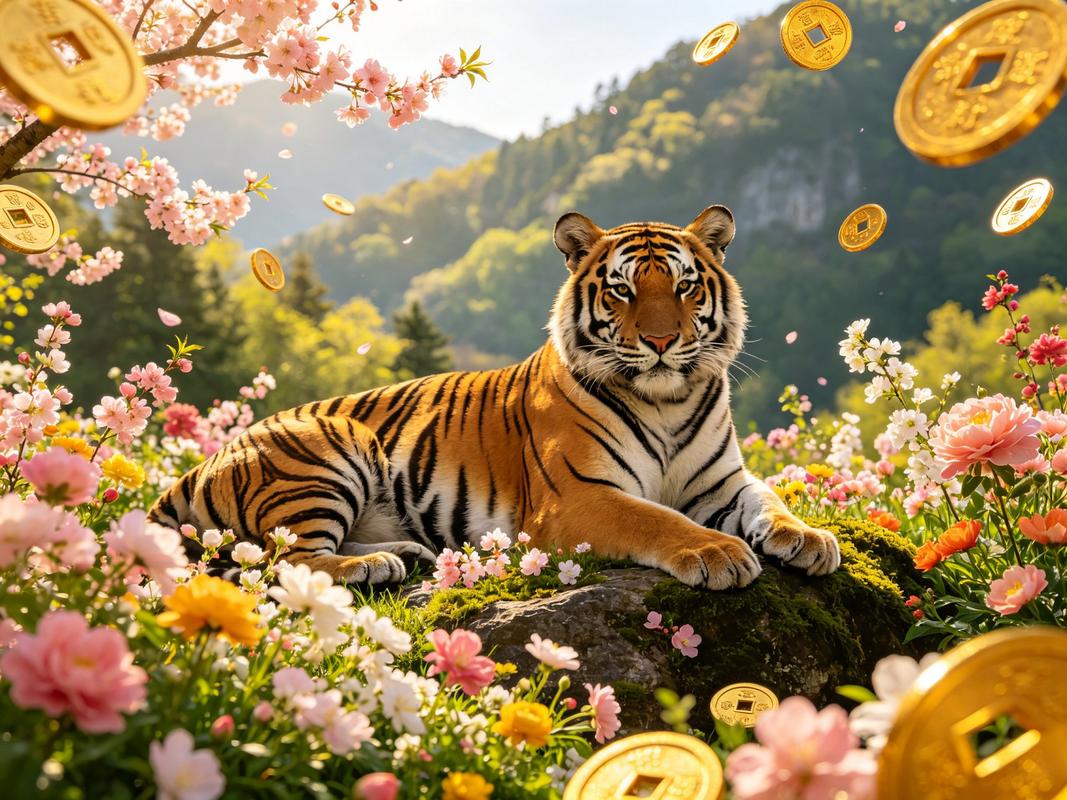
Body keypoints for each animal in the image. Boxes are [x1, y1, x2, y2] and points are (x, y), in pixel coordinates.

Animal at [148, 204, 840, 590]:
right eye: (621, 289)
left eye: (685, 286)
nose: (663, 340)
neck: (667, 400)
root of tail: (202, 463)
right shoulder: (579, 498)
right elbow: (656, 518)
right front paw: (718, 552)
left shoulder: (722, 483)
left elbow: (770, 500)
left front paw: (809, 538)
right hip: (330, 447)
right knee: (279, 560)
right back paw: (373, 567)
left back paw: (404, 554)